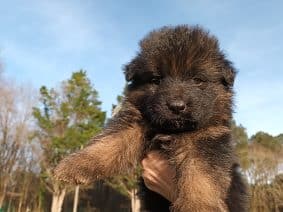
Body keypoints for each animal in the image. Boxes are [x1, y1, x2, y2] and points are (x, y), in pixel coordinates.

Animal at [53, 24, 248, 210]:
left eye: (197, 80)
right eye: (156, 80)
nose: (177, 106)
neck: (173, 131)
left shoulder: (207, 143)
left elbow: (200, 179)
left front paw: (198, 206)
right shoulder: (134, 124)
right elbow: (108, 144)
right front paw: (75, 165)